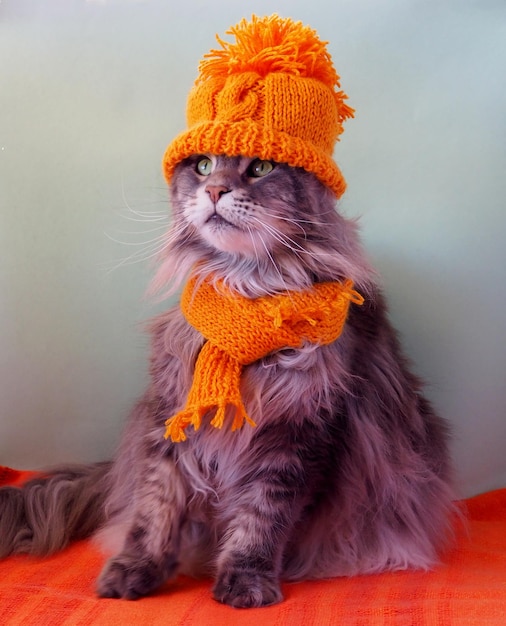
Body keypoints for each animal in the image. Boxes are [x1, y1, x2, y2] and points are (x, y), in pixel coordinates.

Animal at [0, 152, 454, 604]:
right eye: (203, 166)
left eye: (261, 168)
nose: (216, 189)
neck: (245, 289)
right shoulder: (170, 418)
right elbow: (154, 510)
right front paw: (135, 569)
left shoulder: (297, 434)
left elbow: (261, 517)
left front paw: (246, 579)